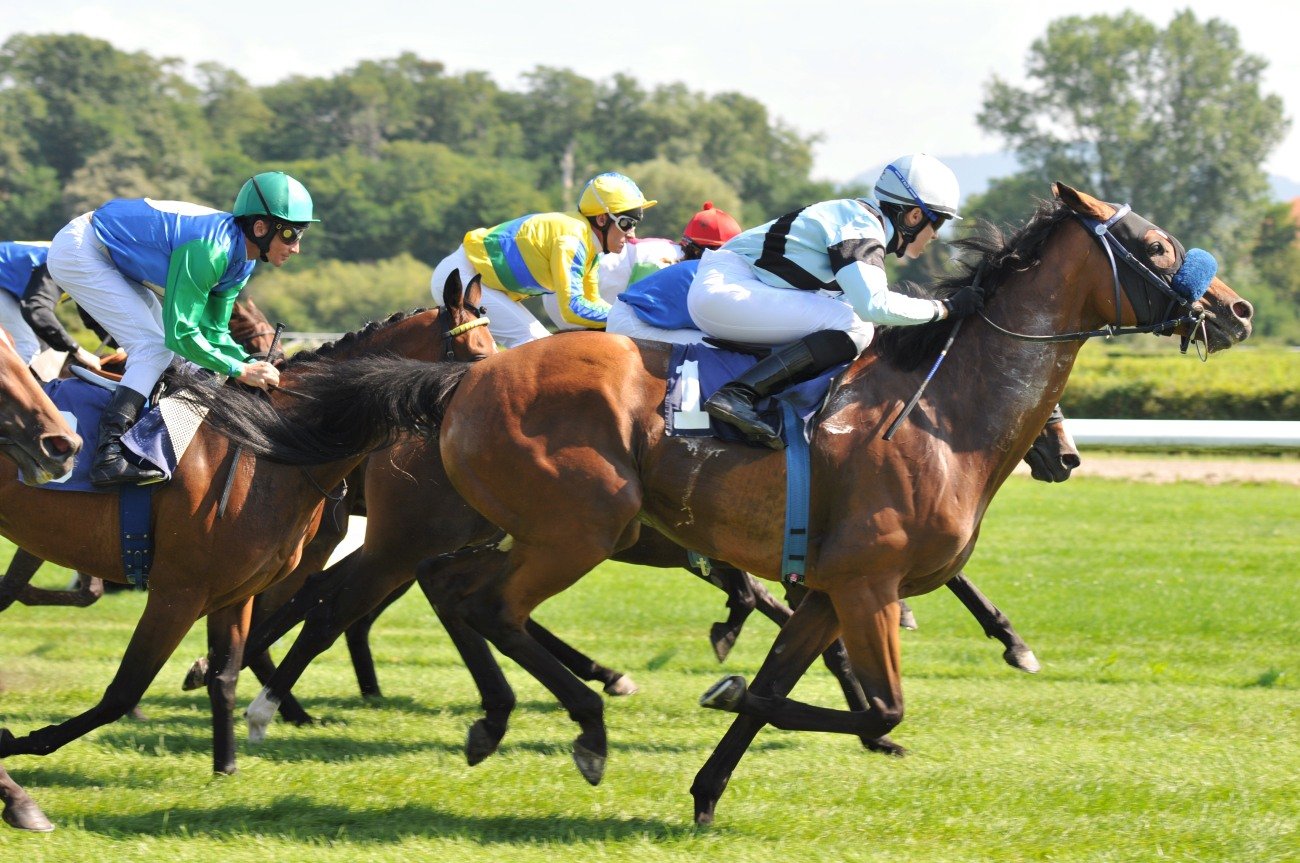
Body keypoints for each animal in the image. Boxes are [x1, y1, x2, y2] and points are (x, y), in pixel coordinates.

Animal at [0, 276, 496, 777]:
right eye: (478, 357)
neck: (265, 444)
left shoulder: (234, 591)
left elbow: (225, 676)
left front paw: (226, 766)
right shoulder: (178, 592)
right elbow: (122, 692)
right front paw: (18, 744)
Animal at [174, 183, 1252, 822]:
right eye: (1156, 244)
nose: (1236, 308)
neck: (942, 409)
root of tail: (459, 379)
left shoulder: (828, 588)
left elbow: (787, 680)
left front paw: (706, 781)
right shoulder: (866, 583)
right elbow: (870, 697)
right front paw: (743, 689)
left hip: (499, 525)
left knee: (444, 599)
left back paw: (491, 712)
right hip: (568, 522)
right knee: (445, 601)